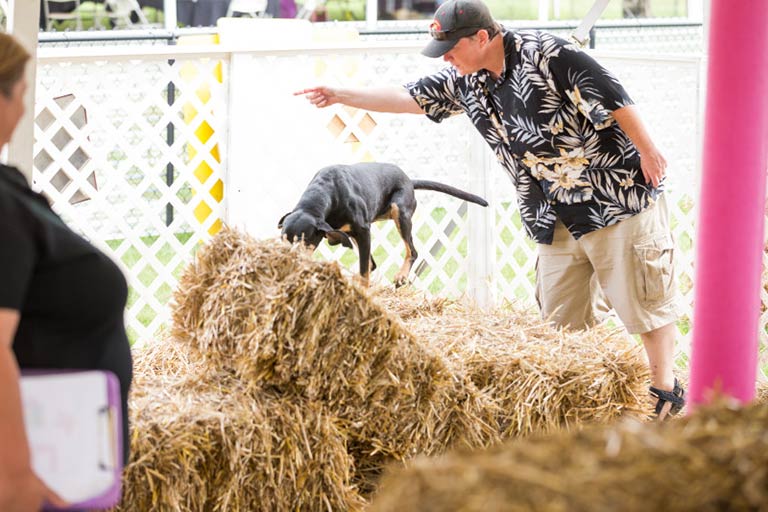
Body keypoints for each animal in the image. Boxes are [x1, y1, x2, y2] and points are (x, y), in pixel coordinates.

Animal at [280, 162, 488, 286]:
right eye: (282, 240)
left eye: (303, 241)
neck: (326, 192)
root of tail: (409, 180)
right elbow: (366, 267)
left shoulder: (364, 230)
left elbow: (364, 271)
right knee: (373, 263)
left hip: (400, 213)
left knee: (412, 252)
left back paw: (401, 275)